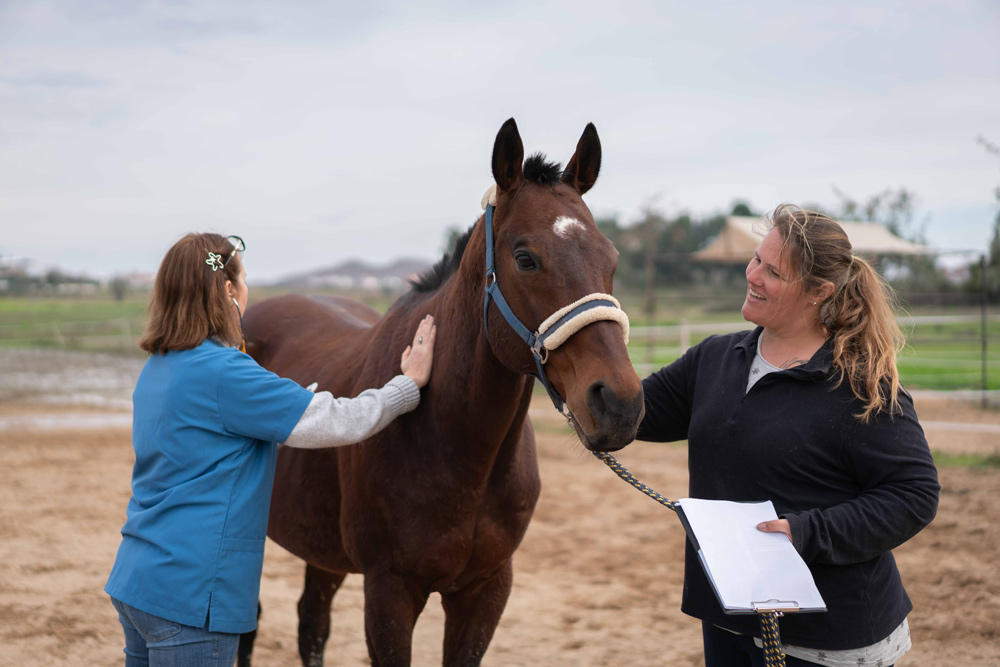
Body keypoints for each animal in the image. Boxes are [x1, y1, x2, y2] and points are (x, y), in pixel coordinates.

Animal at [238, 118, 644, 667]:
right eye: (525, 259)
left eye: (612, 258)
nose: (619, 404)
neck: (455, 448)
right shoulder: (389, 592)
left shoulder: (485, 590)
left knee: (312, 623)